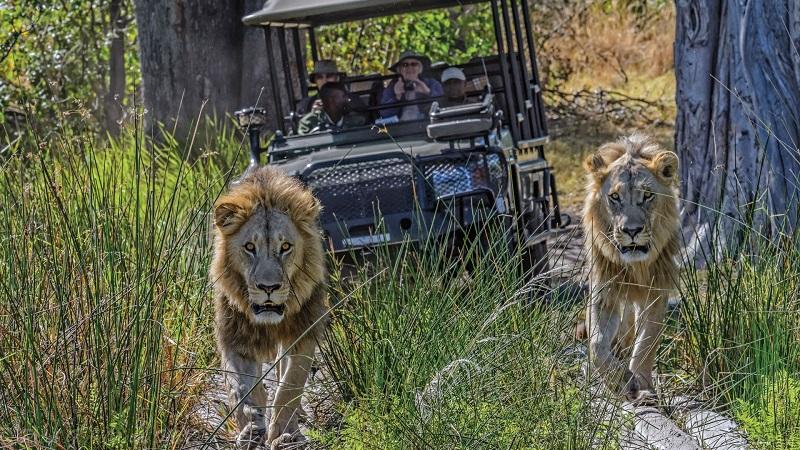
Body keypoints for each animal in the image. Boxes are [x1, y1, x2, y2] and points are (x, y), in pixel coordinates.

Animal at [211, 166, 330, 450]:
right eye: (249, 247)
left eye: (285, 247)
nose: (268, 287)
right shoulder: (234, 339)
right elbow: (240, 389)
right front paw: (252, 429)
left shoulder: (303, 333)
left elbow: (290, 385)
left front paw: (285, 434)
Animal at [584, 132, 680, 402]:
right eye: (614, 197)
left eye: (647, 195)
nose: (632, 231)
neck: (636, 267)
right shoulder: (604, 291)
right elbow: (596, 344)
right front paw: (620, 382)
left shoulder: (657, 291)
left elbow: (648, 342)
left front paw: (642, 385)